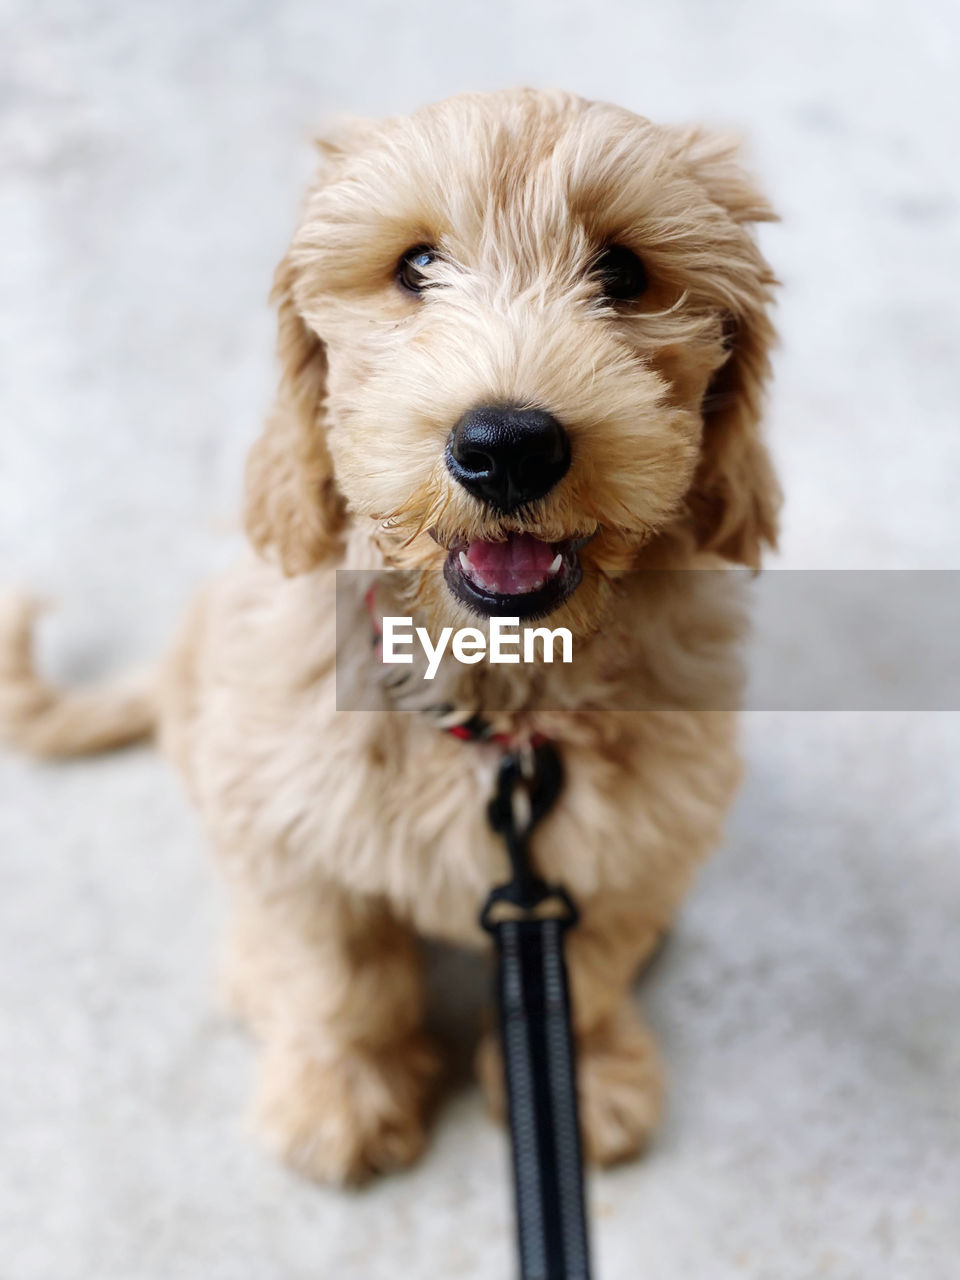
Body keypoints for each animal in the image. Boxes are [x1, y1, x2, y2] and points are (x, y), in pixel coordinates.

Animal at [0, 90, 783, 1182]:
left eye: (623, 272)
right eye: (415, 265)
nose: (507, 445)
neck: (496, 701)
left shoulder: (633, 843)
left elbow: (586, 970)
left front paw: (580, 1084)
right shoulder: (290, 830)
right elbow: (339, 975)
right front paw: (342, 1095)